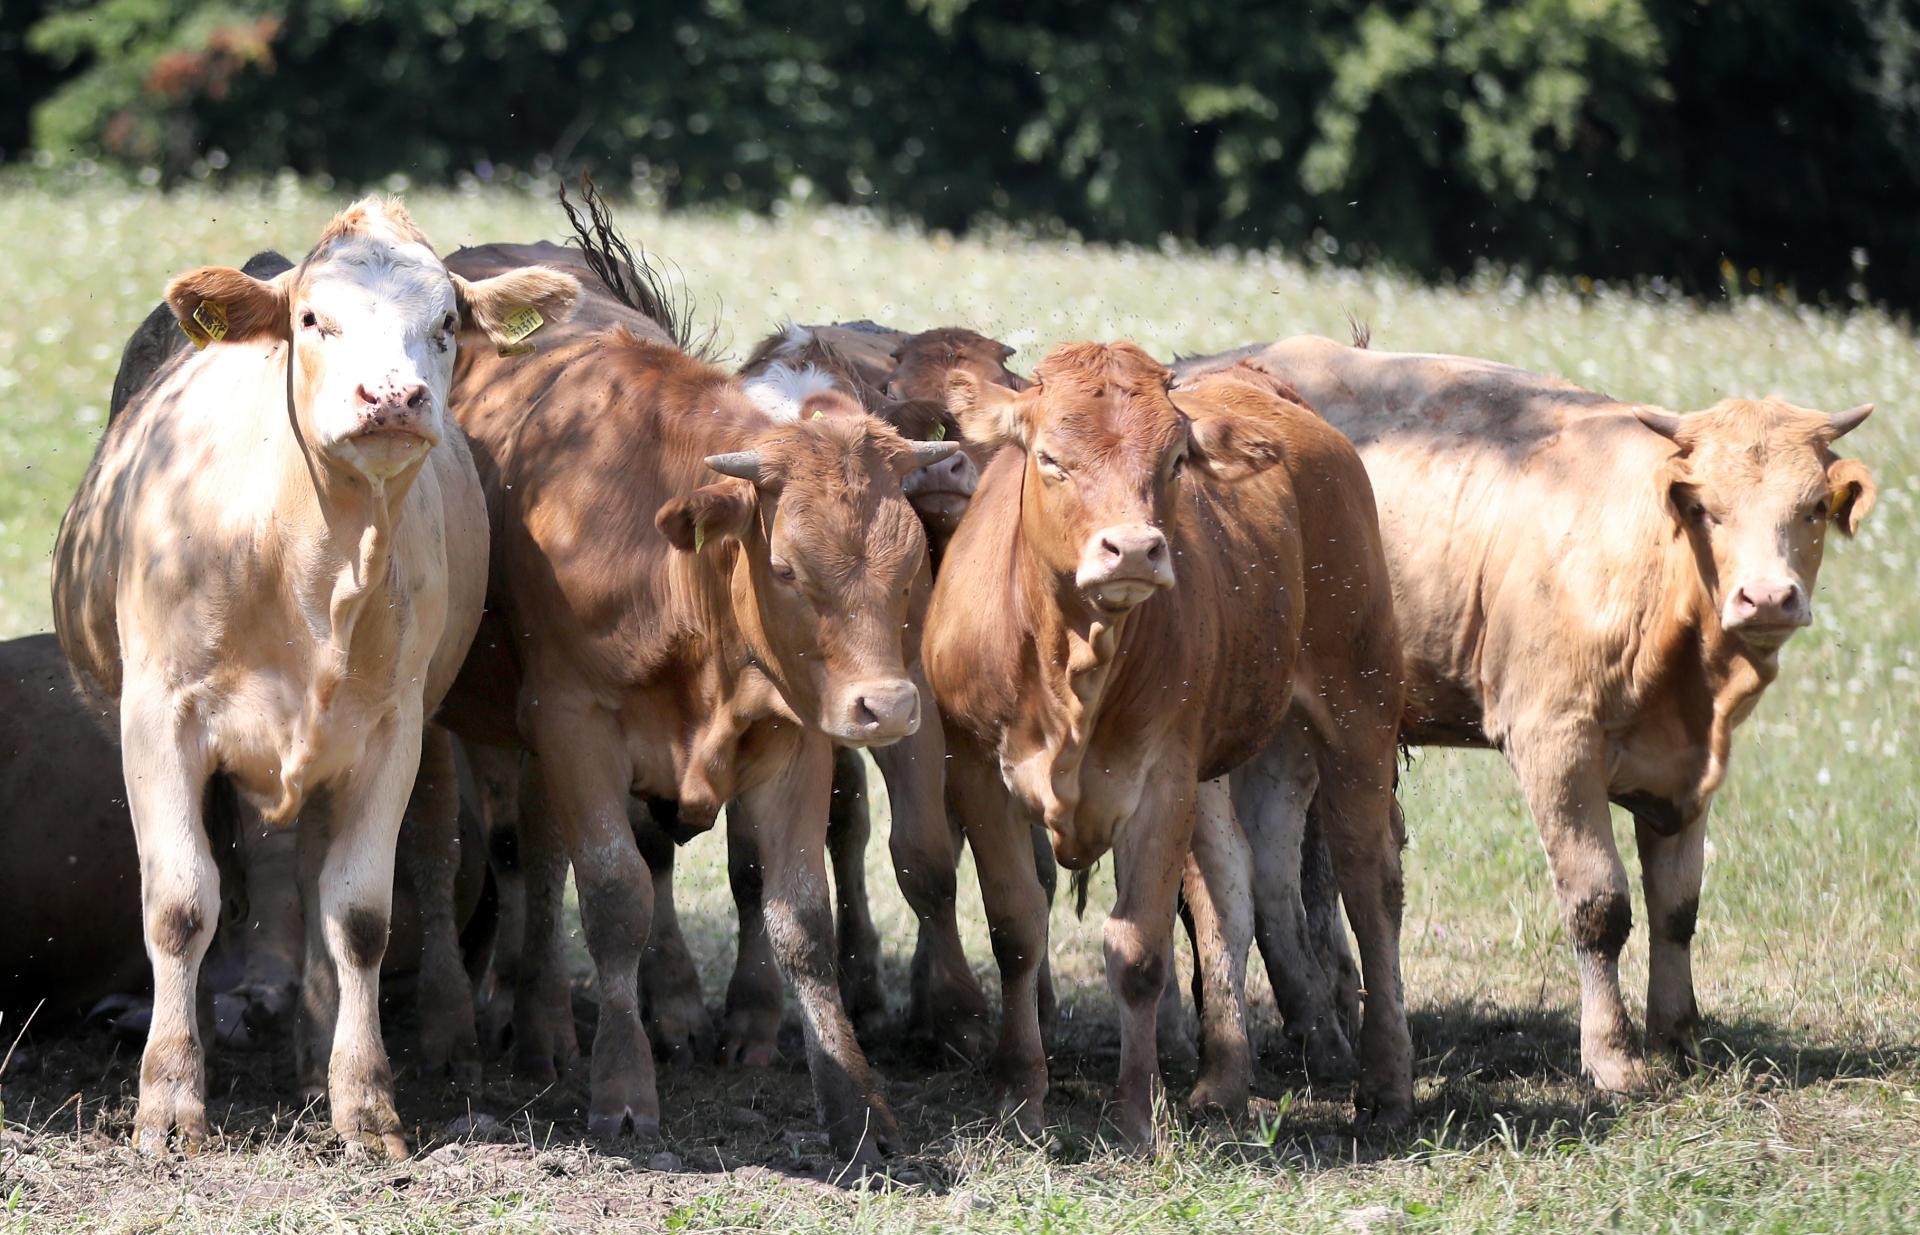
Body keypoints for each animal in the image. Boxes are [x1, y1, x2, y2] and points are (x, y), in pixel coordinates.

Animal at [48, 202, 576, 1160]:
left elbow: (358, 915)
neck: (309, 550)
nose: (393, 397)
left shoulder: (389, 733)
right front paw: (170, 1099)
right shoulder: (158, 720)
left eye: (446, 323)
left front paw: (363, 1101)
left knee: (314, 883)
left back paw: (310, 1059)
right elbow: (179, 902)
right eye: (311, 319)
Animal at [428, 224, 952, 1167]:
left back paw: (547, 1020)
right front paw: (623, 1089)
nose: (888, 707)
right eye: (786, 565)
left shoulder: (791, 736)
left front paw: (855, 1106)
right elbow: (614, 896)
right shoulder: (574, 723)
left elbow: (799, 920)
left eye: (910, 563)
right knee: (487, 858)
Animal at [925, 343, 1413, 1144]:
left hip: (1359, 709)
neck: (1067, 663)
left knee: (1370, 887)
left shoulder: (1161, 781)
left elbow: (1138, 951)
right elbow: (1017, 927)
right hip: (1259, 749)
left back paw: (1386, 1081)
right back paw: (1224, 1080)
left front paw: (1134, 1115)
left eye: (1176, 460)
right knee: (1237, 890)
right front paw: (1021, 1096)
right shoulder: (974, 767)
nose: (1133, 548)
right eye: (1051, 457)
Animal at [1175, 336, 1881, 1090]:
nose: (1768, 597)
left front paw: (1677, 1041)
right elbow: (1600, 905)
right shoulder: (1554, 743)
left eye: (1813, 507)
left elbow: (1677, 908)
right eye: (1707, 509)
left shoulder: (1688, 767)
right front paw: (1613, 1055)